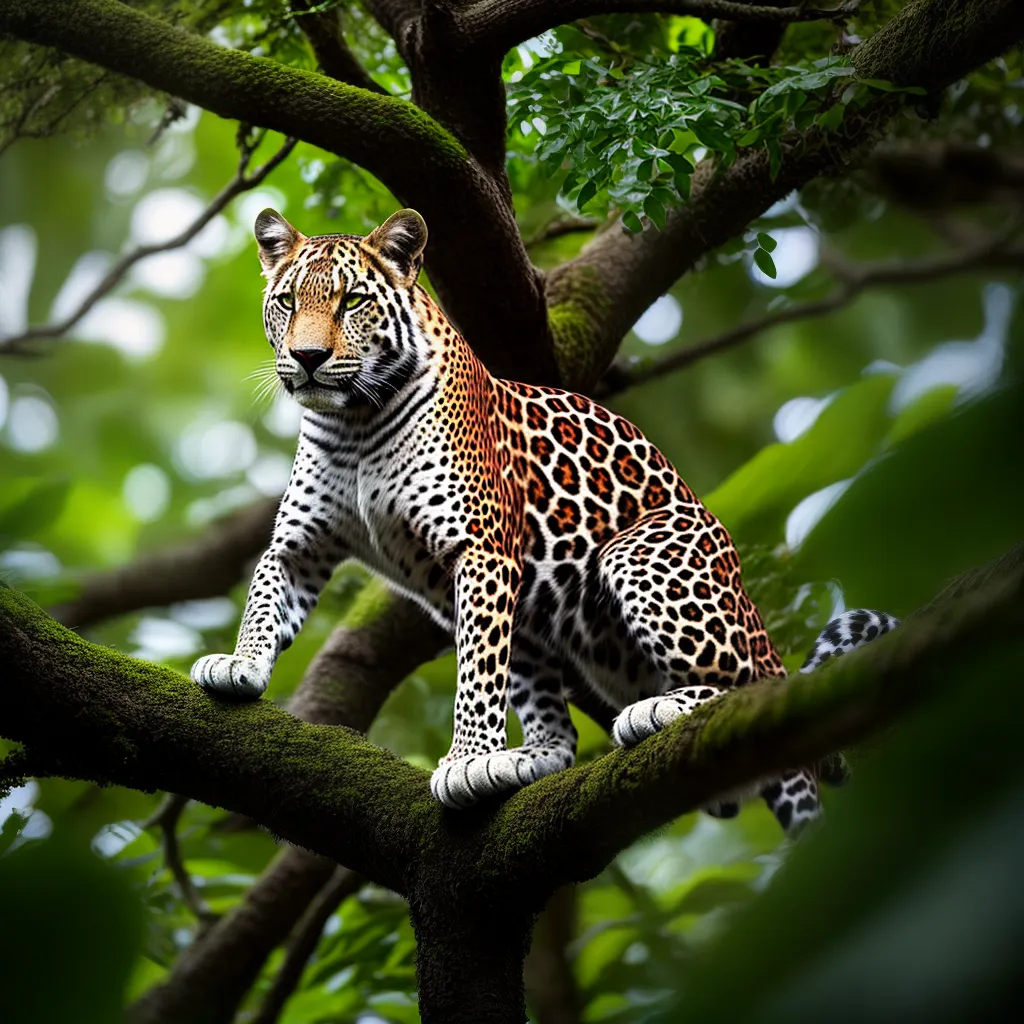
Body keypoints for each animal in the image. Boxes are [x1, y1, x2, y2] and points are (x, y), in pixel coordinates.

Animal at [191, 207, 899, 834]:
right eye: (287, 302)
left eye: (354, 302)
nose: (308, 357)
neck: (355, 423)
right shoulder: (299, 546)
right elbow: (264, 600)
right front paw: (240, 666)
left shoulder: (479, 551)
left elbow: (476, 677)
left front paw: (466, 756)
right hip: (538, 615)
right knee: (559, 733)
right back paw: (521, 761)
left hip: (642, 557)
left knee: (743, 682)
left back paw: (652, 712)